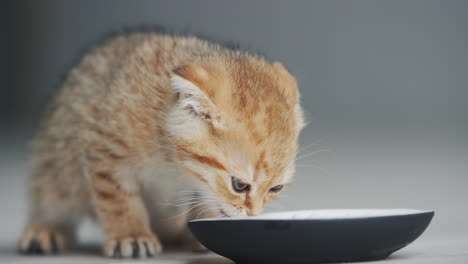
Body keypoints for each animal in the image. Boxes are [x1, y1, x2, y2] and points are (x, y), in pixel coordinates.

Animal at [18, 33, 306, 258]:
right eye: (239, 185)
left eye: (276, 188)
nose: (253, 214)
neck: (173, 162)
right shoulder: (105, 149)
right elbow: (119, 198)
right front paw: (130, 234)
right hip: (58, 164)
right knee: (50, 194)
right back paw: (44, 230)